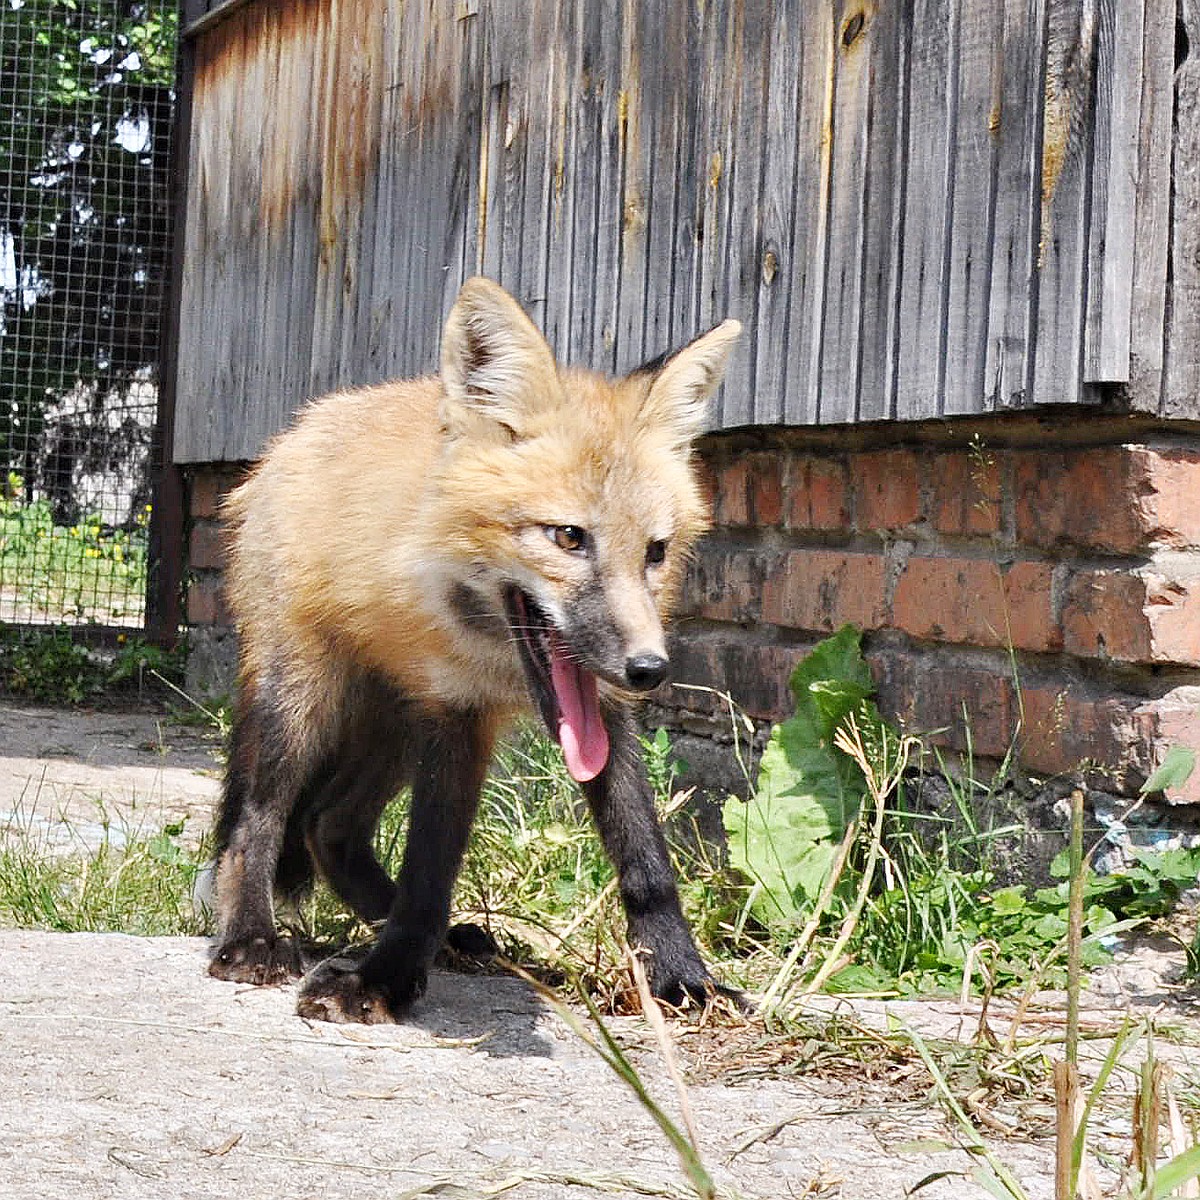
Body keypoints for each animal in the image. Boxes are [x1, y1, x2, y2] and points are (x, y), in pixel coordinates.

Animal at [211, 274, 744, 1022]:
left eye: (656, 552)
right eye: (569, 537)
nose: (649, 670)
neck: (495, 659)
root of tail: (295, 432)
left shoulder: (597, 711)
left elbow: (645, 859)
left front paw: (682, 977)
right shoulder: (454, 709)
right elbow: (429, 869)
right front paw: (384, 980)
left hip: (392, 723)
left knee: (328, 825)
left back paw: (434, 932)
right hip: (305, 699)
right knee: (261, 816)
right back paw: (249, 936)